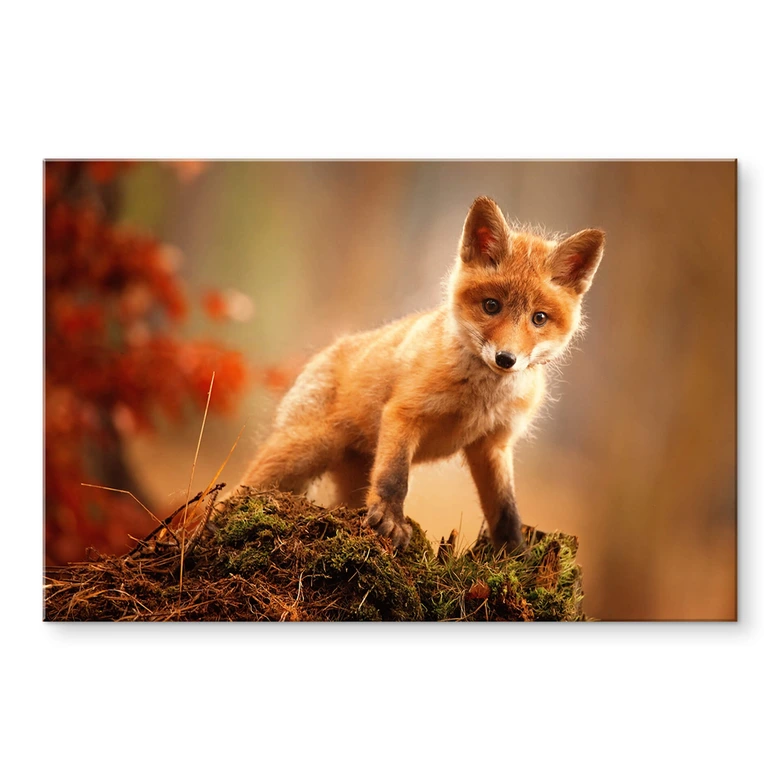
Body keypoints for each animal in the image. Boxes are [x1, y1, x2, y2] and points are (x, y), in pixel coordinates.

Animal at [238, 196, 605, 553]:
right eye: (491, 306)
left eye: (539, 318)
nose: (505, 359)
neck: (480, 398)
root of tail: (326, 351)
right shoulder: (404, 413)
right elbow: (395, 478)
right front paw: (391, 521)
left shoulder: (493, 444)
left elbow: (506, 510)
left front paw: (514, 556)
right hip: (301, 452)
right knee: (238, 491)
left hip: (349, 477)